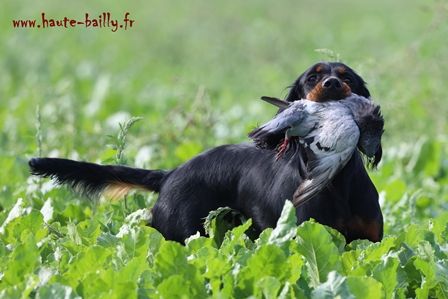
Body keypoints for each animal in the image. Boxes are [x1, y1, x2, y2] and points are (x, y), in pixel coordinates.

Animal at [29, 61, 384, 244]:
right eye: (312, 76)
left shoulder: (369, 242)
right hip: (181, 234)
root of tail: (171, 174)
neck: (340, 183)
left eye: (347, 77)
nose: (332, 85)